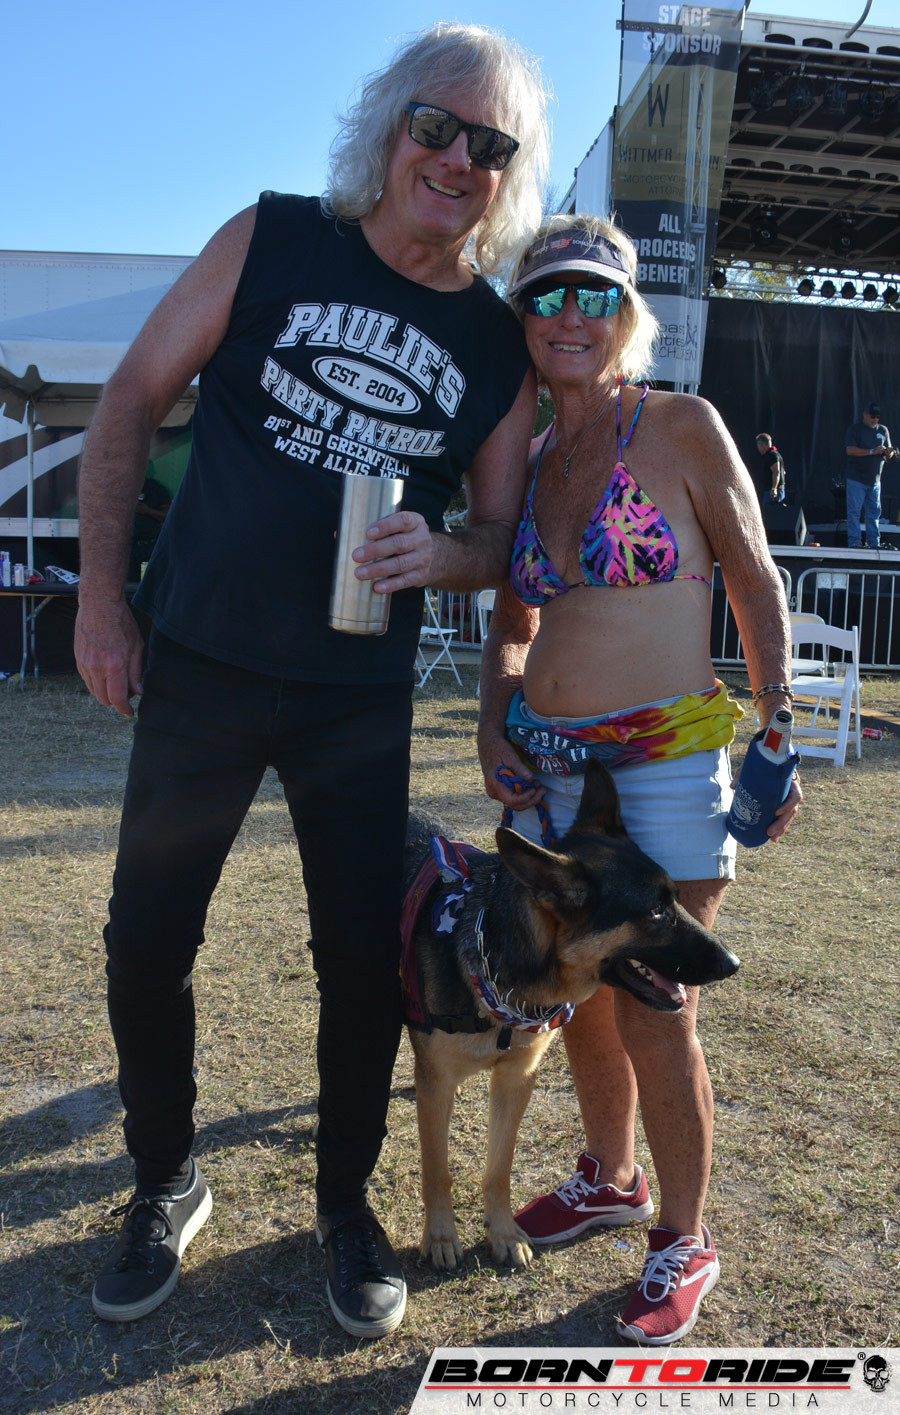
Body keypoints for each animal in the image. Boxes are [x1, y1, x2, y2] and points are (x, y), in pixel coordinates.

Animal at [400, 758, 739, 1271]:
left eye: (677, 899)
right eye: (656, 912)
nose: (732, 963)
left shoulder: (515, 1079)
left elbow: (499, 1168)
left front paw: (503, 1232)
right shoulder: (441, 1086)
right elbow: (437, 1169)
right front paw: (440, 1237)